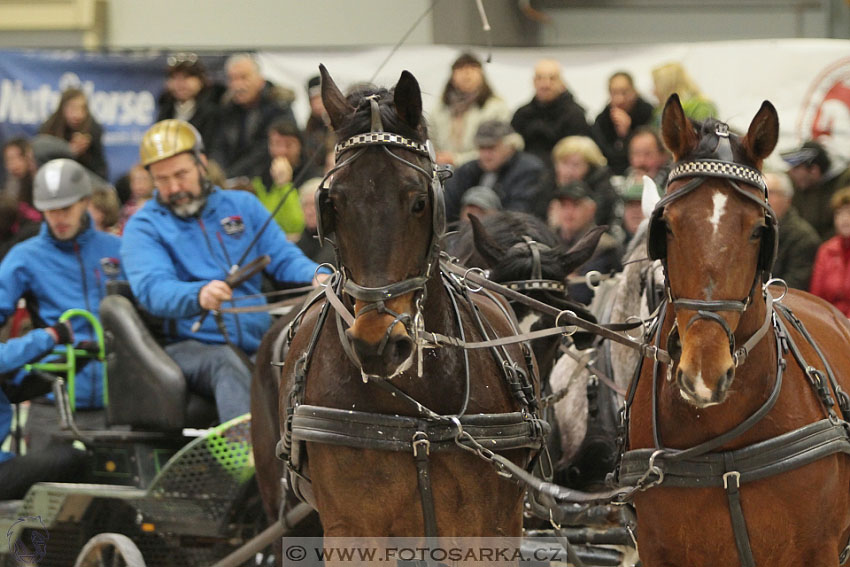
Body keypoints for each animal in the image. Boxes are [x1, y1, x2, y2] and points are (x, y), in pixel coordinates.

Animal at [264, 66, 544, 552]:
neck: (418, 414)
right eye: (332, 203)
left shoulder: (491, 525)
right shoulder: (353, 529)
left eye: (419, 201)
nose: (377, 343)